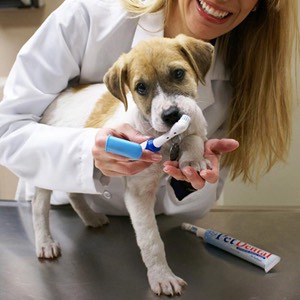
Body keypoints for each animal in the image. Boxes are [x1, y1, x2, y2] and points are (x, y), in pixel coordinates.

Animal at [33, 34, 213, 296]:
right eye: (141, 88)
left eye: (178, 73)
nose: (171, 115)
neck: (165, 140)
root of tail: (58, 97)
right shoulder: (139, 193)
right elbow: (151, 240)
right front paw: (162, 277)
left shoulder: (193, 125)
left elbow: (194, 138)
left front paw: (193, 160)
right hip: (47, 171)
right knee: (38, 206)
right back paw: (45, 242)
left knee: (74, 191)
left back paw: (91, 217)